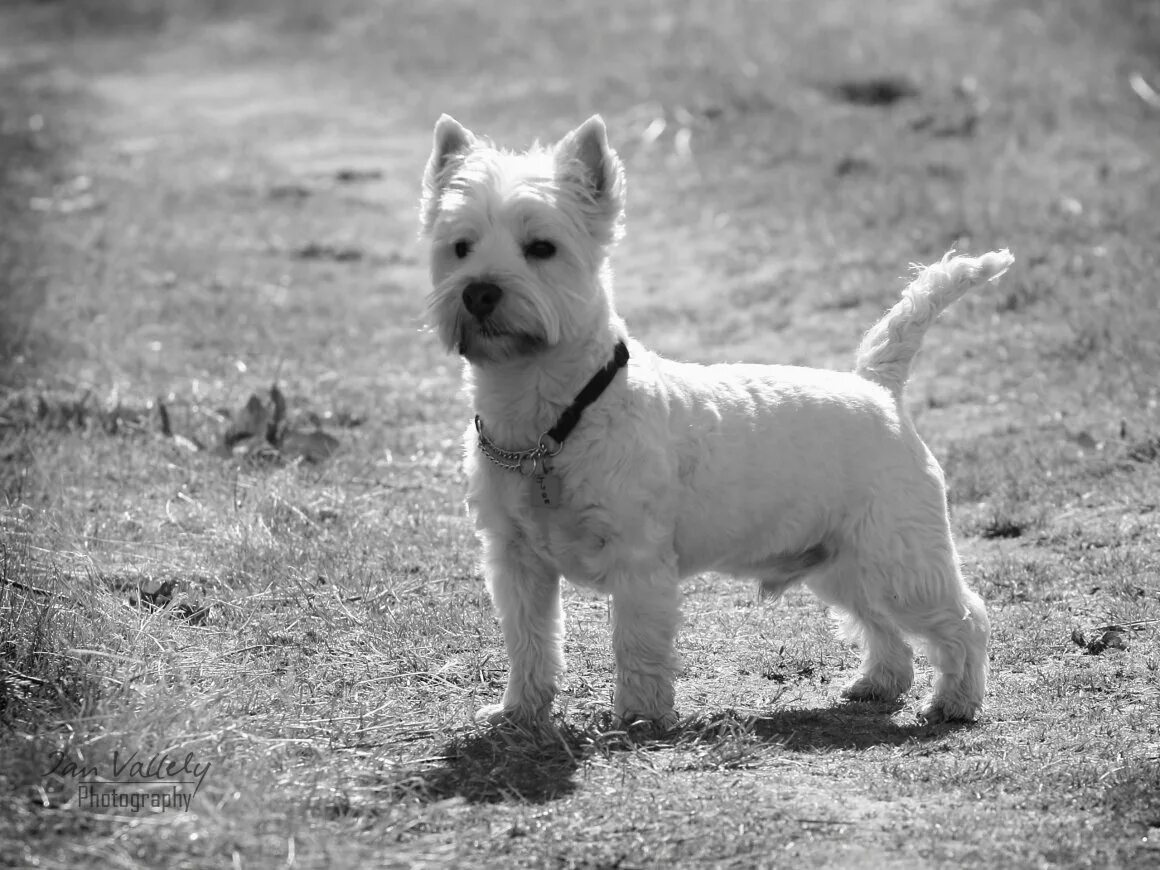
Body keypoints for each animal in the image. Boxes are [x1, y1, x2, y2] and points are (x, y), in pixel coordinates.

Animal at [422, 116, 1011, 728]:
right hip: (841, 562)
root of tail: (879, 387)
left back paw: (954, 702)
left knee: (966, 618)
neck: (549, 420)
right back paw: (877, 683)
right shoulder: (514, 560)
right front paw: (517, 711)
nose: (479, 292)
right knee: (882, 625)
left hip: (901, 557)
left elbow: (637, 645)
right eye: (460, 247)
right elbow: (529, 641)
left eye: (541, 247)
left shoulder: (639, 559)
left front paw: (639, 717)